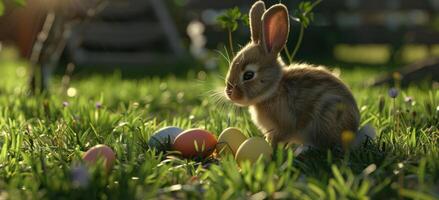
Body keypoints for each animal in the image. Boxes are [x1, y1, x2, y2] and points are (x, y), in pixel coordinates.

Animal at [225, 0, 366, 149]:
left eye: (248, 75)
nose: (229, 93)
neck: (273, 90)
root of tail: (353, 131)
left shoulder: (284, 126)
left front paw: (272, 149)